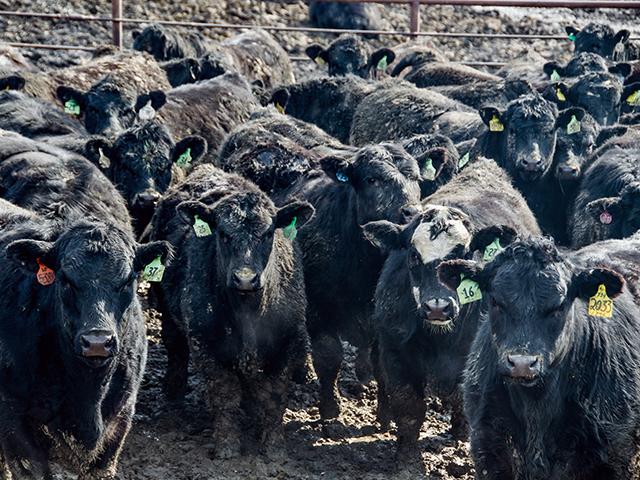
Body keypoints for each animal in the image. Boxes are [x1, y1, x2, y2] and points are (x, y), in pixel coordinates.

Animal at [147, 164, 314, 458]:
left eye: (268, 234)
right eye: (223, 234)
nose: (245, 278)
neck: (248, 312)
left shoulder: (288, 343)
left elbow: (275, 396)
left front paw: (273, 446)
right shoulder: (206, 342)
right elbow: (224, 393)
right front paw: (227, 445)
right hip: (166, 309)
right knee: (175, 347)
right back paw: (173, 393)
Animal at [363, 158, 540, 461]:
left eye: (463, 255)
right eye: (413, 255)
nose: (438, 307)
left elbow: (462, 396)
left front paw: (460, 435)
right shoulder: (395, 349)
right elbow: (408, 405)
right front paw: (406, 458)